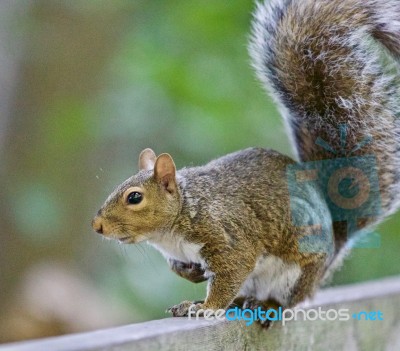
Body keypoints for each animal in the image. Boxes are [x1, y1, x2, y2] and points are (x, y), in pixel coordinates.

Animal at [90, 0, 400, 328]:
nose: (97, 226)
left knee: (285, 300)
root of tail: (334, 241)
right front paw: (193, 277)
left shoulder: (228, 237)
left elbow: (231, 272)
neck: (179, 219)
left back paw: (264, 305)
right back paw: (220, 302)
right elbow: (184, 269)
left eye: (134, 197)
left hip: (296, 272)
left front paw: (208, 307)